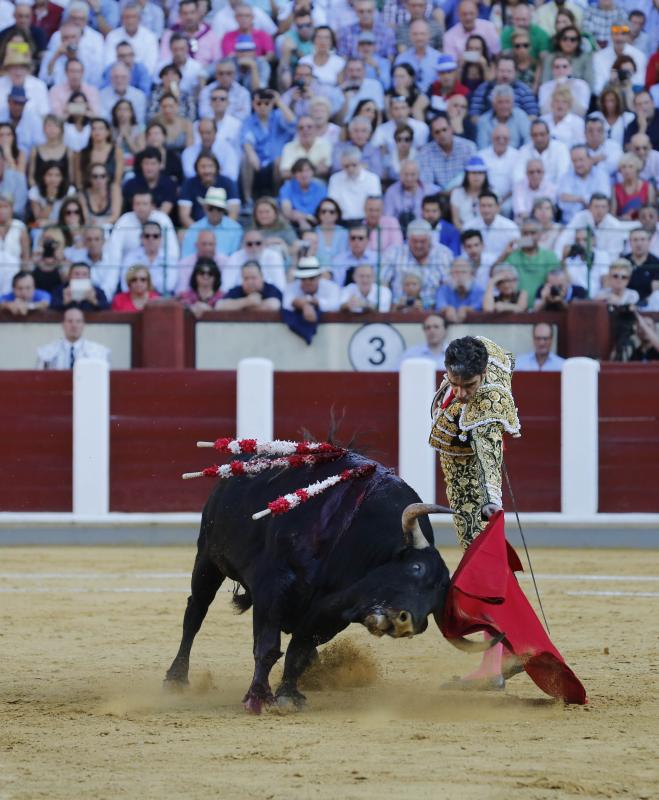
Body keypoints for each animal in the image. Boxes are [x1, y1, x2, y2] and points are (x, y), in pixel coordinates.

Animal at [166, 450, 500, 712]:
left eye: (434, 605)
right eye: (416, 568)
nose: (407, 623)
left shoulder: (330, 614)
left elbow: (299, 649)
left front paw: (289, 695)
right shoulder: (273, 589)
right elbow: (268, 647)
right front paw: (258, 698)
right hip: (208, 558)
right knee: (195, 614)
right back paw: (176, 678)